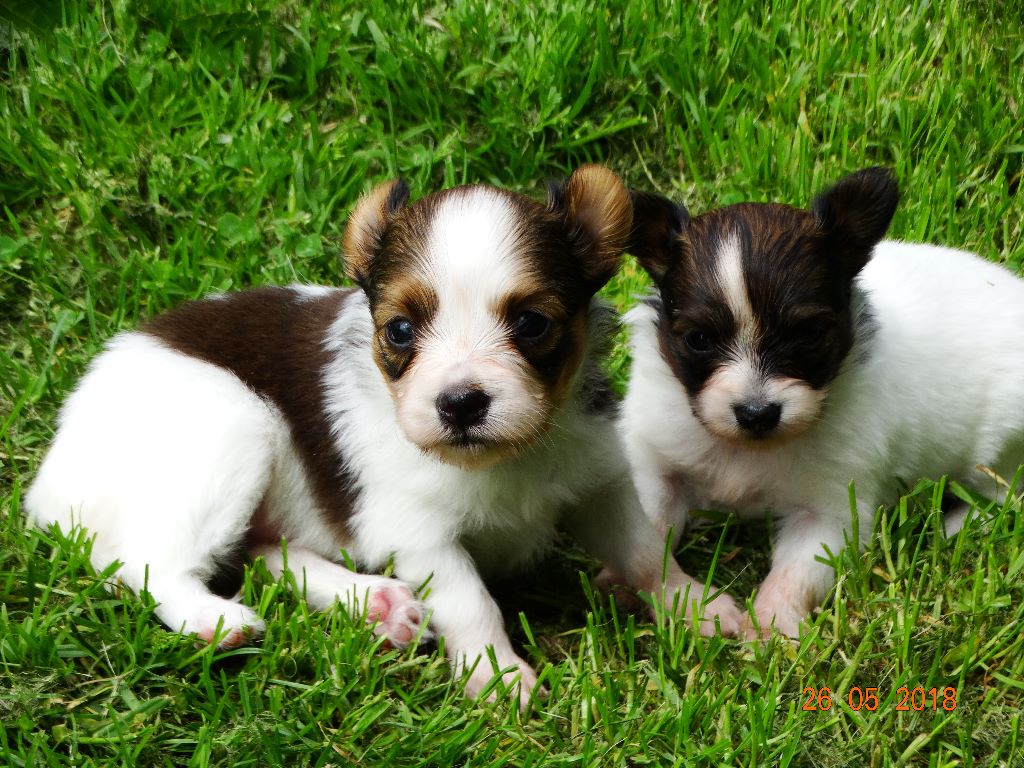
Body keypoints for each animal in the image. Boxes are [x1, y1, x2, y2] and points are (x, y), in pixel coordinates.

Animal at [24, 165, 720, 708]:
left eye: (530, 323)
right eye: (401, 331)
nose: (460, 403)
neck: (504, 460)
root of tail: (51, 473)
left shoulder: (597, 479)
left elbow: (645, 551)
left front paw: (699, 607)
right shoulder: (420, 532)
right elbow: (472, 602)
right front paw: (499, 678)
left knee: (261, 552)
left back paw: (377, 602)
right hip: (235, 429)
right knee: (146, 563)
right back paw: (214, 619)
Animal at [618, 169, 1024, 643]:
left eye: (809, 334)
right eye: (698, 339)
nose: (757, 414)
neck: (748, 450)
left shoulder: (831, 509)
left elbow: (796, 571)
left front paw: (770, 625)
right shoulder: (655, 465)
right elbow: (646, 534)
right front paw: (672, 597)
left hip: (1000, 447)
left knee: (1003, 494)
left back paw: (956, 526)